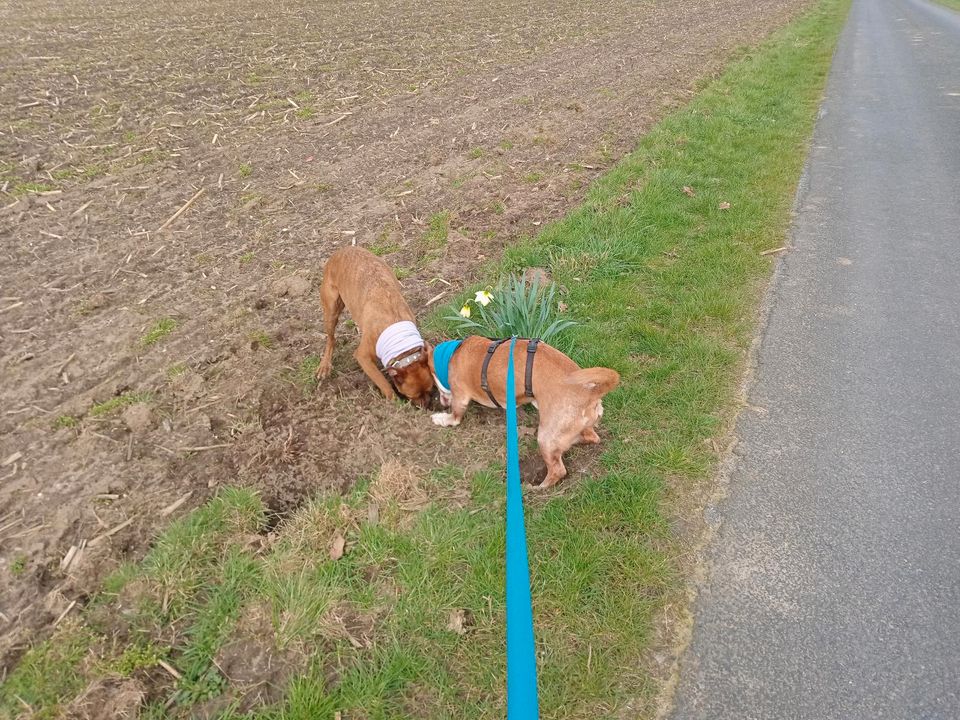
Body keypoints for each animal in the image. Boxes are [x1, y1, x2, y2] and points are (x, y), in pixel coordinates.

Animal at [316, 246, 436, 404]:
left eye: (429, 390)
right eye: (413, 396)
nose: (426, 406)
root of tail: (343, 249)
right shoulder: (363, 357)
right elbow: (382, 381)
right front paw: (394, 402)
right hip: (331, 311)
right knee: (331, 339)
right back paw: (325, 366)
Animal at [430, 338, 624, 490]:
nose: (439, 402)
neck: (454, 353)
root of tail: (589, 392)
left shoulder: (460, 396)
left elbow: (455, 416)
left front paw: (442, 418)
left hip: (545, 438)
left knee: (558, 470)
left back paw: (539, 487)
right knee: (591, 437)